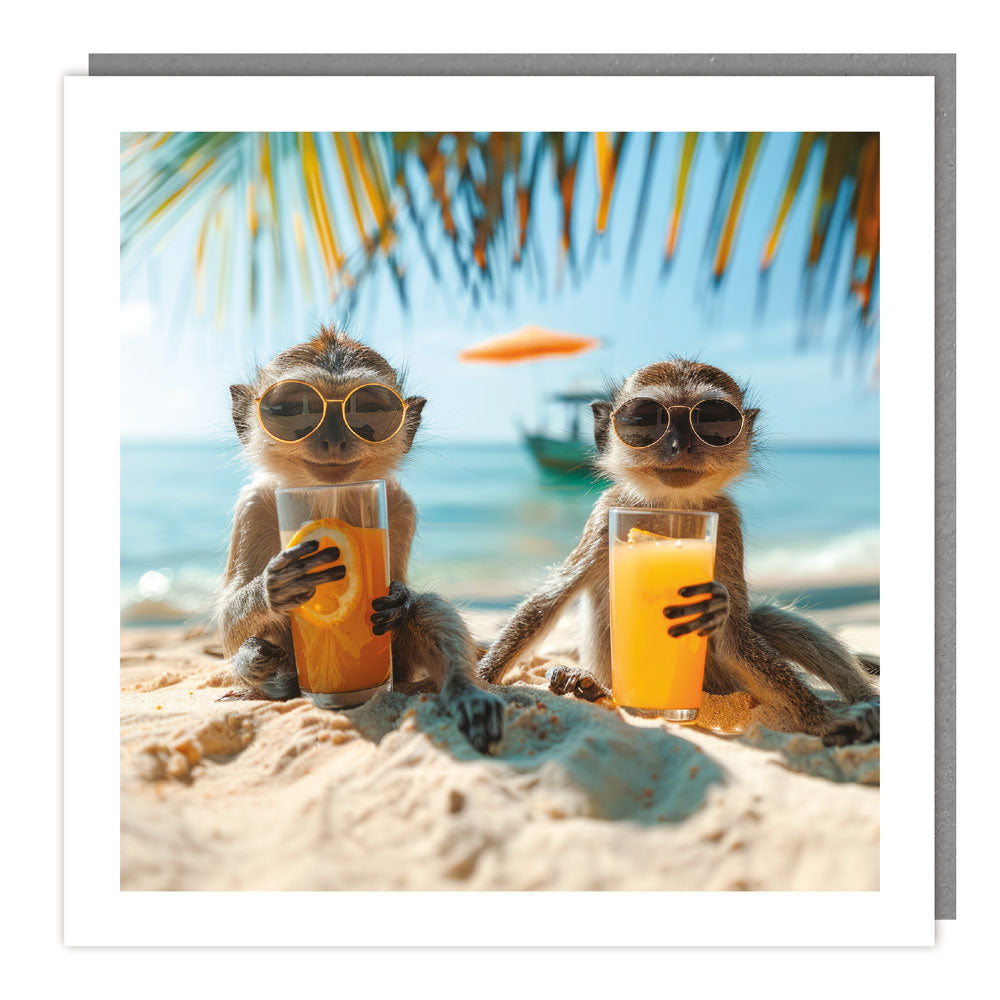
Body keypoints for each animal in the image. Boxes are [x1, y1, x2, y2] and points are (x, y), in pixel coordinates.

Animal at [215, 326, 505, 754]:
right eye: (292, 408)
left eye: (367, 409)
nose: (334, 440)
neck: (328, 497)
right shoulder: (253, 506)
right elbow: (229, 624)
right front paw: (275, 585)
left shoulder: (399, 504)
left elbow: (404, 593)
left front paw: (400, 597)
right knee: (253, 652)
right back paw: (269, 675)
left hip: (399, 662)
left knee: (428, 609)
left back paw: (464, 691)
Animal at [477, 358, 879, 747]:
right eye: (643, 419)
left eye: (713, 421)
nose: (680, 446)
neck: (671, 509)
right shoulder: (605, 514)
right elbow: (550, 600)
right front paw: (483, 676)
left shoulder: (726, 522)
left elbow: (737, 632)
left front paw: (822, 719)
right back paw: (587, 684)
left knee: (767, 622)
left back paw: (864, 698)